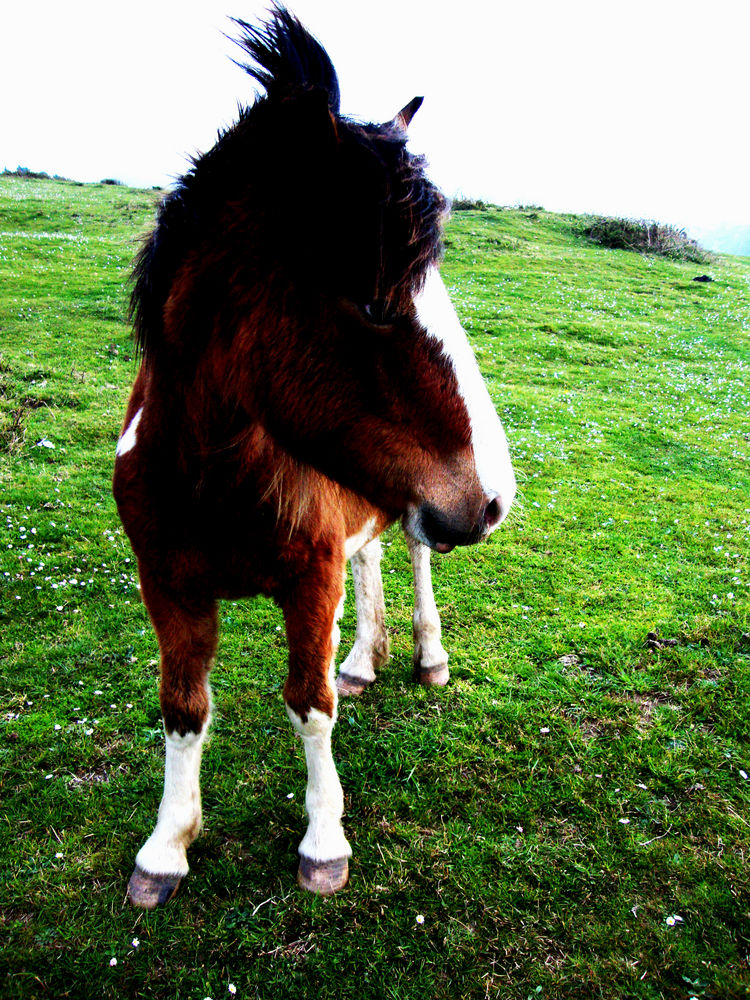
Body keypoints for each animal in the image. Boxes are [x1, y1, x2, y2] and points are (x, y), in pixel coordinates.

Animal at [114, 3, 516, 908]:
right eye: (374, 303)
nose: (494, 498)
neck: (210, 474)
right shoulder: (169, 586)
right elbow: (183, 706)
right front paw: (165, 847)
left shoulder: (309, 580)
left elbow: (310, 701)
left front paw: (324, 840)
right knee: (372, 562)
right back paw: (367, 656)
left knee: (412, 556)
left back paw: (425, 655)